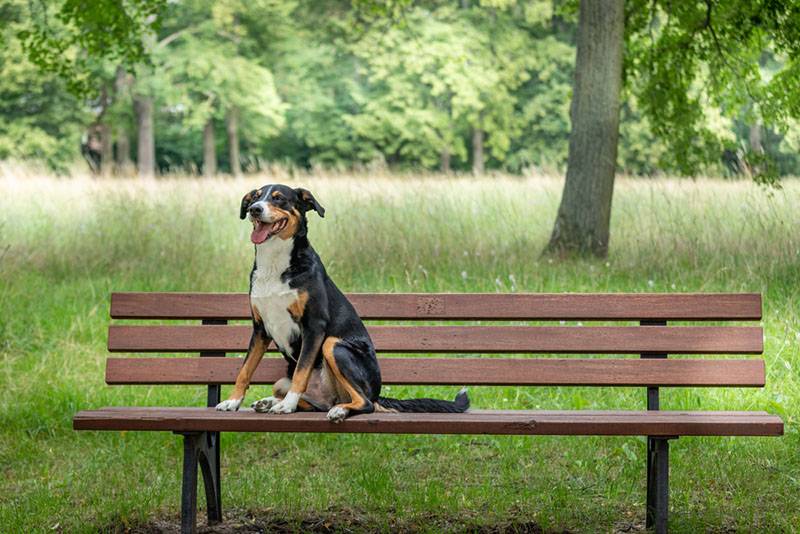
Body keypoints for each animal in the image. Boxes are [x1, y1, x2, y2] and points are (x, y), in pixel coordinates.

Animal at [216, 184, 472, 422]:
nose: (254, 209)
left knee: (364, 403)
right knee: (316, 403)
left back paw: (335, 409)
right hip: (282, 381)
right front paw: (232, 402)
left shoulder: (314, 326)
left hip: (333, 345)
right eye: (256, 197)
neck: (275, 265)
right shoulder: (260, 329)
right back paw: (271, 402)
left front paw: (287, 406)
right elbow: (245, 370)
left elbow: (301, 371)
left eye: (278, 198)